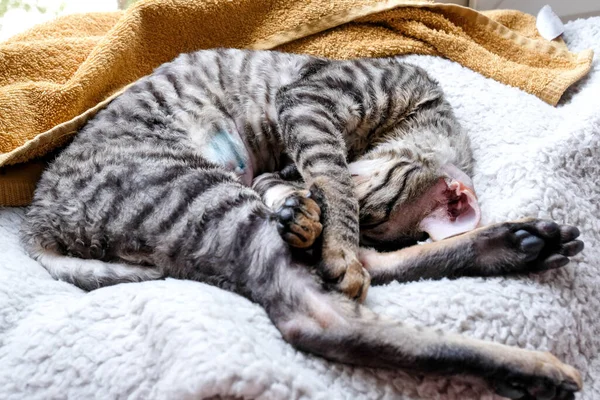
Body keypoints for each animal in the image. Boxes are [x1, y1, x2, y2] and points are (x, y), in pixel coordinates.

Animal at [21, 48, 584, 398]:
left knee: (348, 285)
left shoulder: (301, 141)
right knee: (326, 316)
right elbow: (330, 178)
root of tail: (37, 220)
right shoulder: (310, 105)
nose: (290, 179)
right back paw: (532, 357)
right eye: (364, 210)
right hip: (202, 194)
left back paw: (520, 244)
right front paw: (322, 221)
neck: (424, 106)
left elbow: (330, 198)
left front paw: (315, 219)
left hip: (209, 201)